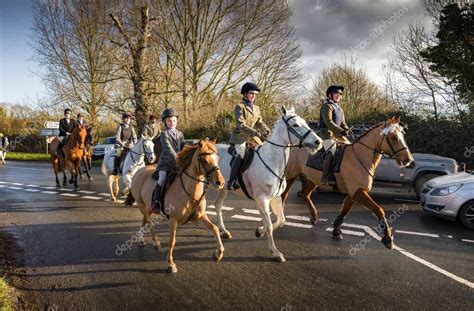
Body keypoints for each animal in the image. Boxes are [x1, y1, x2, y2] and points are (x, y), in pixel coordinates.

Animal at [126, 140, 226, 274]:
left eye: (217, 159)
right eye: (205, 161)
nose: (220, 182)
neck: (189, 191)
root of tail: (139, 171)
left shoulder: (200, 216)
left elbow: (214, 228)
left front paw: (218, 254)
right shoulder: (173, 220)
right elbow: (172, 241)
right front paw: (170, 264)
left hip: (147, 207)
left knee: (145, 220)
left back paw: (142, 240)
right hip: (141, 205)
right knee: (149, 222)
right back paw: (156, 242)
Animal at [214, 106, 322, 264]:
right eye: (295, 125)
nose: (318, 142)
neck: (271, 160)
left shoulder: (274, 198)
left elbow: (281, 220)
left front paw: (259, 231)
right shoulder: (262, 200)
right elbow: (270, 226)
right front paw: (275, 252)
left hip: (223, 188)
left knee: (218, 206)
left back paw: (224, 231)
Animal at [282, 118, 414, 250]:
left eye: (402, 136)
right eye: (394, 137)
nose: (409, 161)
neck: (359, 157)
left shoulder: (354, 193)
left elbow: (344, 211)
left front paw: (336, 231)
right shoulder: (358, 192)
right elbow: (379, 209)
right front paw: (388, 238)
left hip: (314, 179)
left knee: (305, 194)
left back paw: (314, 217)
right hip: (290, 175)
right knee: (284, 195)